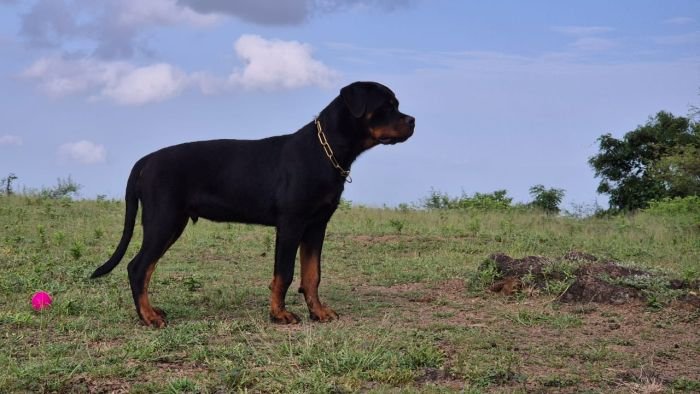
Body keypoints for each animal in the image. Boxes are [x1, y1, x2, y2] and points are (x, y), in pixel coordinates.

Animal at [89, 80, 412, 326]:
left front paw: (318, 312)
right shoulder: (291, 223)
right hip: (162, 220)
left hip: (171, 224)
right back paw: (148, 317)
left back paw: (151, 311)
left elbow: (312, 275)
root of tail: (145, 161)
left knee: (145, 269)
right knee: (138, 267)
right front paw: (279, 314)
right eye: (387, 106)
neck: (326, 150)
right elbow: (284, 273)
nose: (412, 121)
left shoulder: (316, 226)